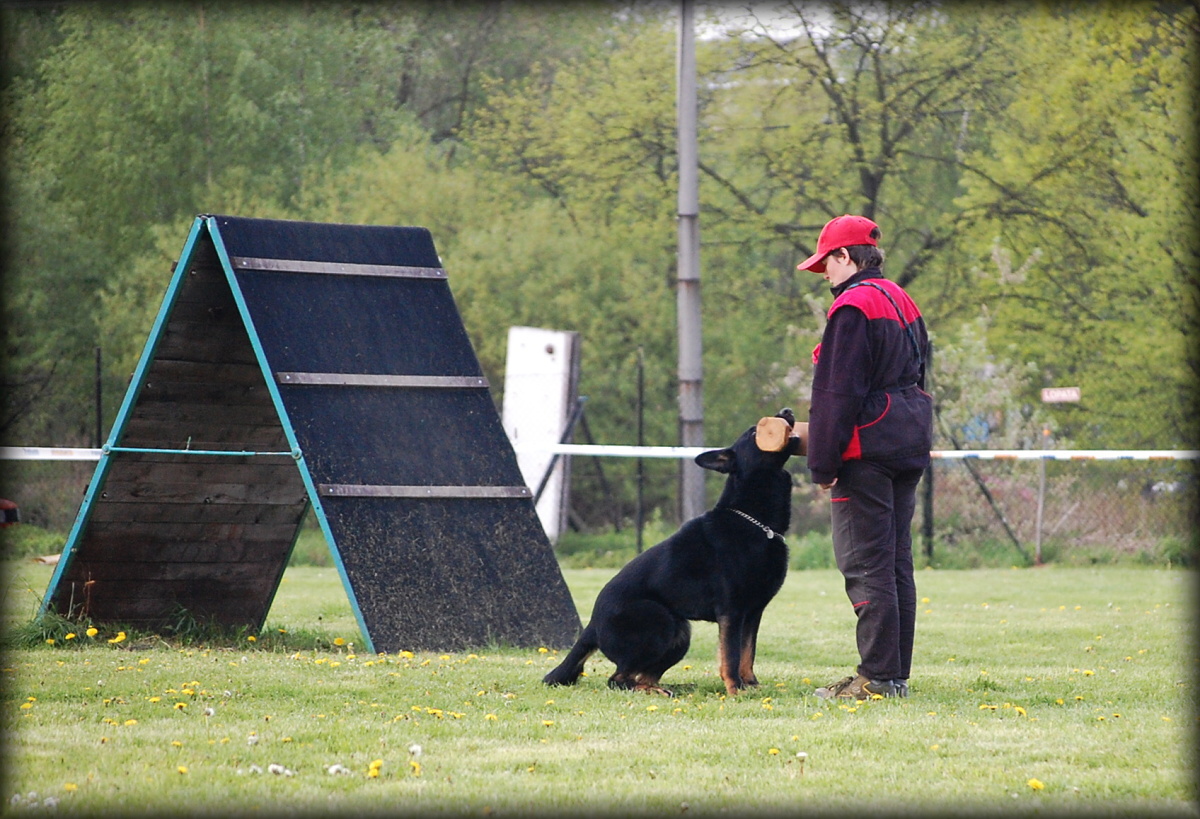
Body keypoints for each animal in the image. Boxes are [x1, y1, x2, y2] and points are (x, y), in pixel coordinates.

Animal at [544, 405, 806, 691]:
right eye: (754, 432)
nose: (787, 410)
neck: (756, 523)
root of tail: (591, 625)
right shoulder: (732, 611)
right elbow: (731, 655)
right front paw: (735, 689)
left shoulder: (752, 613)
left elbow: (748, 653)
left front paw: (751, 685)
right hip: (662, 621)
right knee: (618, 679)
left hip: (680, 634)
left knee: (641, 676)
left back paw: (666, 689)